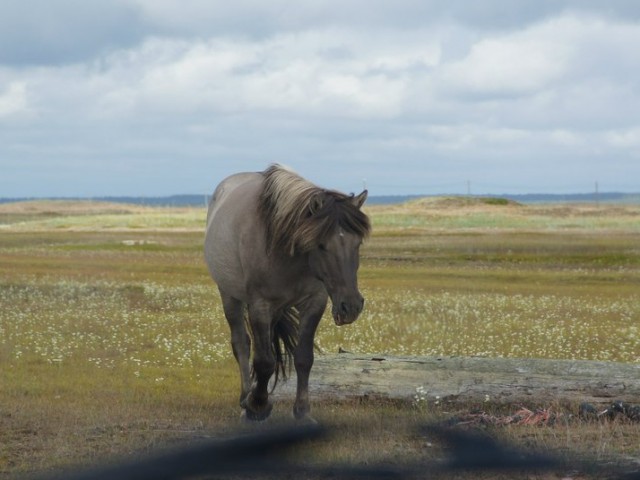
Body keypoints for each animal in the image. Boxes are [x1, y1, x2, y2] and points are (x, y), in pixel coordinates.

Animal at [205, 164, 370, 420]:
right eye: (321, 245)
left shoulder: (314, 302)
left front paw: (302, 411)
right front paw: (258, 406)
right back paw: (245, 398)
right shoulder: (260, 305)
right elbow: (264, 361)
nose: (350, 306)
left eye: (358, 243)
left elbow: (304, 357)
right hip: (230, 296)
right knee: (242, 343)